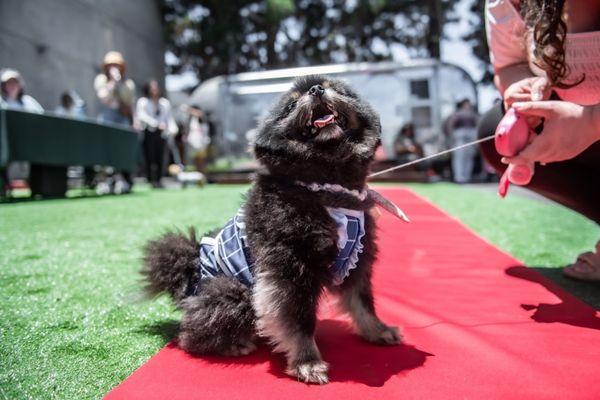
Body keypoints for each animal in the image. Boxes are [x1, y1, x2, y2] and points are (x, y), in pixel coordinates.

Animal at [142, 75, 400, 384]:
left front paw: (377, 330)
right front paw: (307, 362)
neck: (325, 186)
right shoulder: (288, 267)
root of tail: (189, 274)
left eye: (336, 89)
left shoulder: (357, 259)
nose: (316, 89)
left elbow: (363, 302)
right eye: (290, 106)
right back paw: (233, 344)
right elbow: (298, 320)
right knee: (188, 335)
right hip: (232, 291)